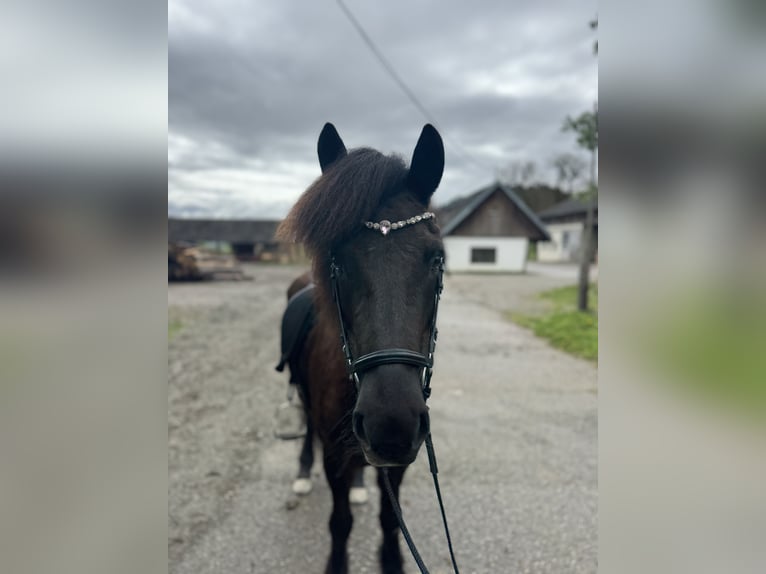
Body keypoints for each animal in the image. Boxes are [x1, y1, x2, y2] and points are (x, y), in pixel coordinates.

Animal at [277, 122, 445, 574]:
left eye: (436, 258)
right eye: (338, 260)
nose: (391, 424)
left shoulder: (403, 455)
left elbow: (390, 518)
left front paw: (392, 561)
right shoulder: (334, 455)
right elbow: (340, 522)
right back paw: (301, 474)